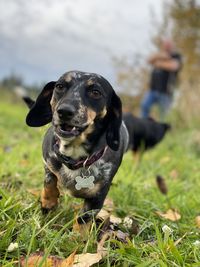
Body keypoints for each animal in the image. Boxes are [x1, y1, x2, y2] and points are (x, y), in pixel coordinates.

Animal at [25, 70, 129, 224]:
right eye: (60, 86)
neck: (74, 156)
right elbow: (49, 181)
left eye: (95, 92)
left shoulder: (97, 199)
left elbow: (83, 221)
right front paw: (48, 203)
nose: (64, 111)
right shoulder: (48, 162)